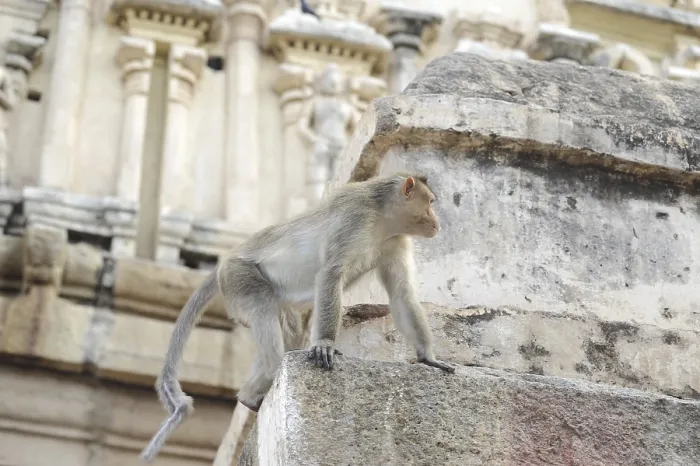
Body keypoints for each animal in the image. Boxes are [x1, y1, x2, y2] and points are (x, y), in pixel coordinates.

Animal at [139, 173, 454, 462]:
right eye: (431, 203)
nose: (437, 220)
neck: (382, 218)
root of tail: (224, 262)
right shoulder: (355, 219)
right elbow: (330, 274)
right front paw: (325, 343)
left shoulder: (396, 242)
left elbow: (402, 295)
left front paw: (428, 357)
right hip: (239, 277)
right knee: (263, 311)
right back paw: (262, 381)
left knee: (284, 323)